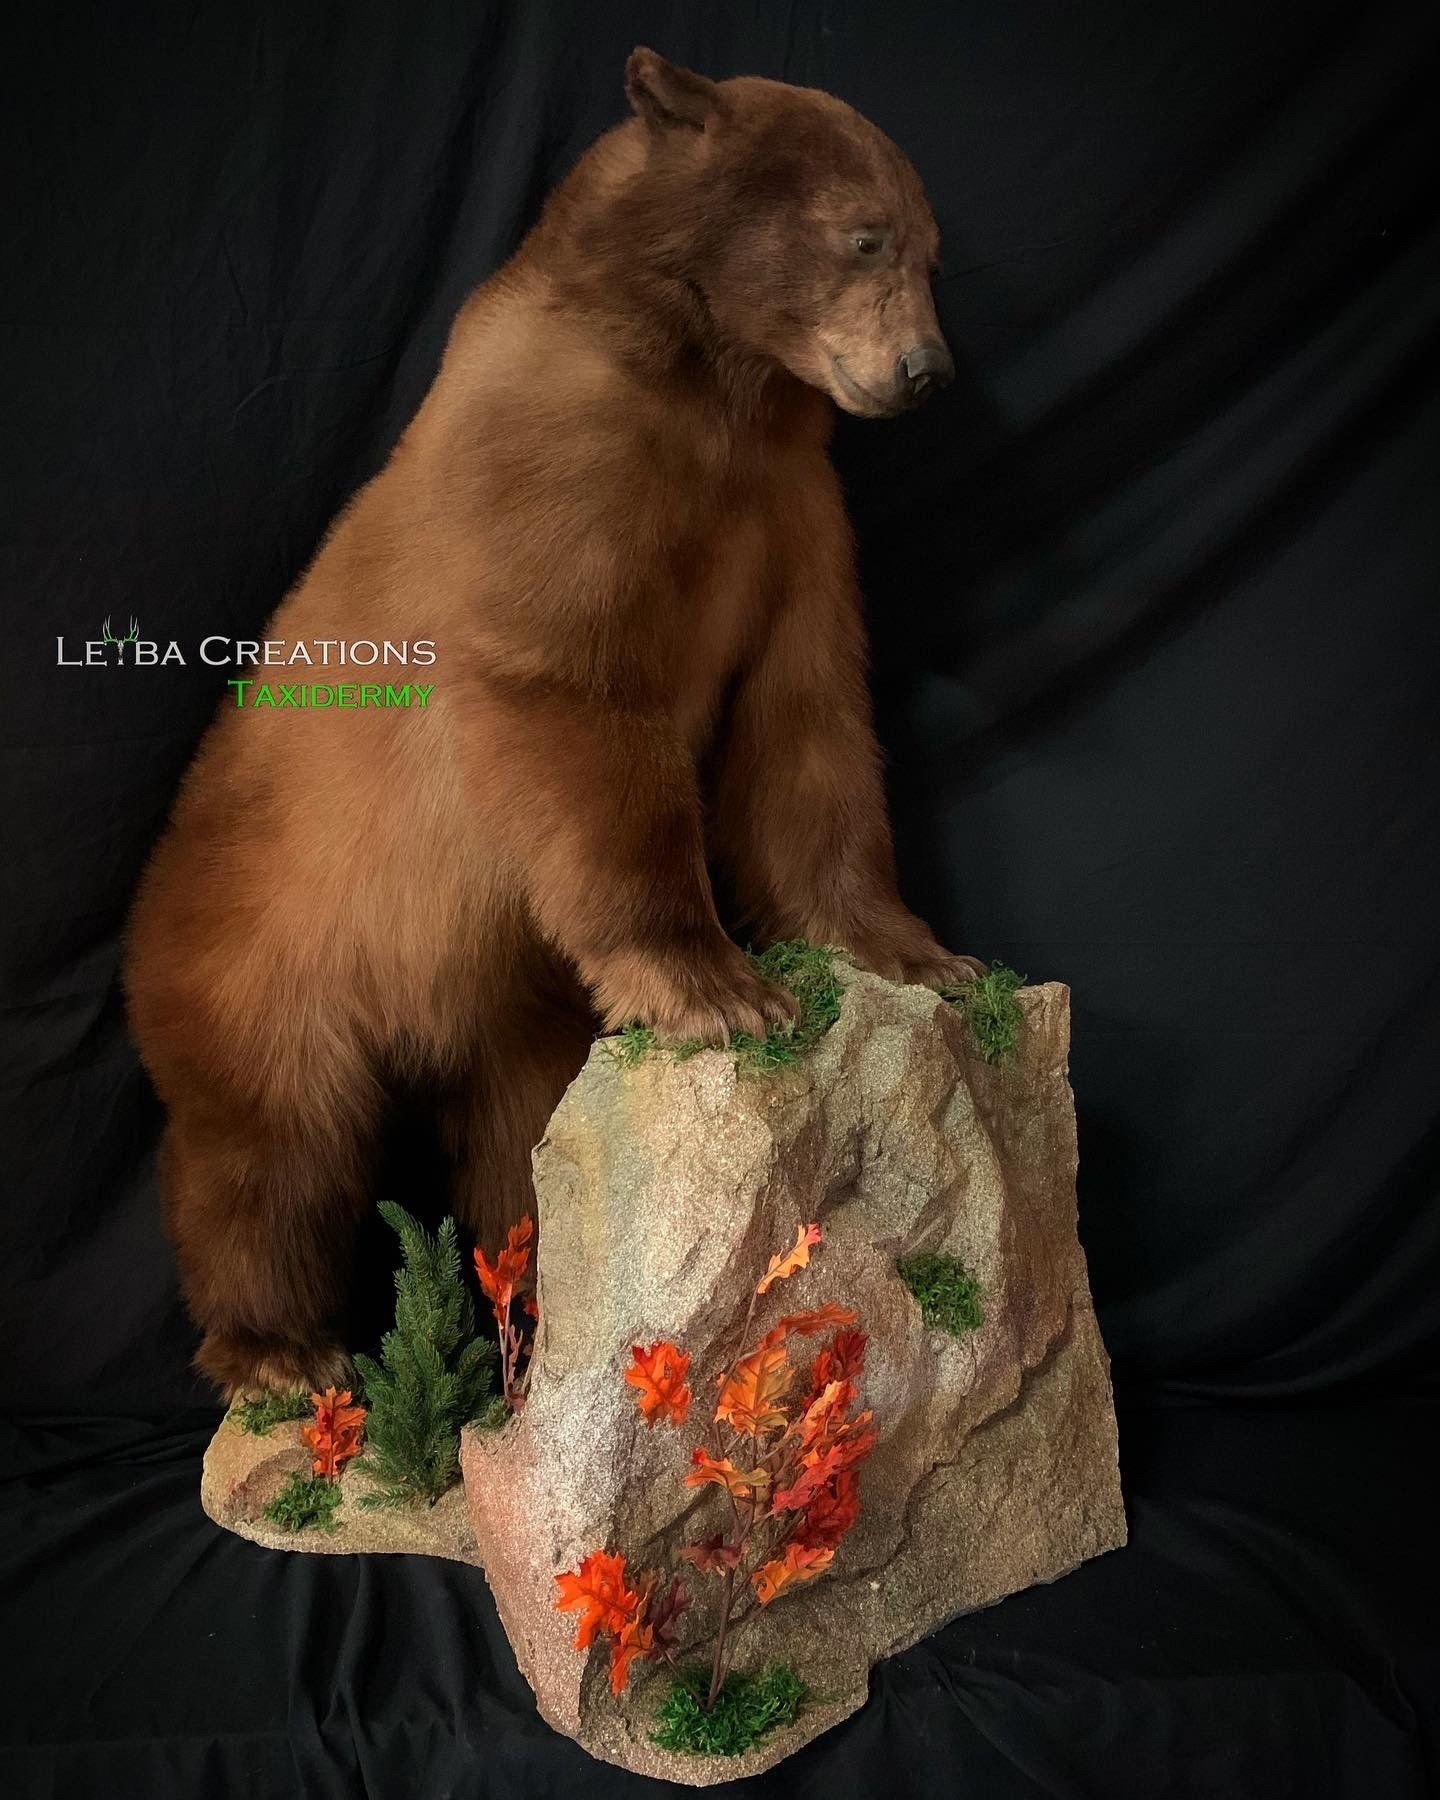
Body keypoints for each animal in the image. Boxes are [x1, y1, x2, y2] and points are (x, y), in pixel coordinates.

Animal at [124, 48, 984, 1398]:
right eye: (864, 236)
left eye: (932, 251)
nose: (926, 371)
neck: (711, 383)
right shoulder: (563, 461)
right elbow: (570, 690)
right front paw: (720, 987)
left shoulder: (790, 511)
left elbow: (806, 720)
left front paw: (915, 951)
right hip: (264, 959)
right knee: (270, 1154)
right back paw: (282, 1351)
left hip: (506, 1009)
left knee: (514, 1134)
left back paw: (525, 1289)